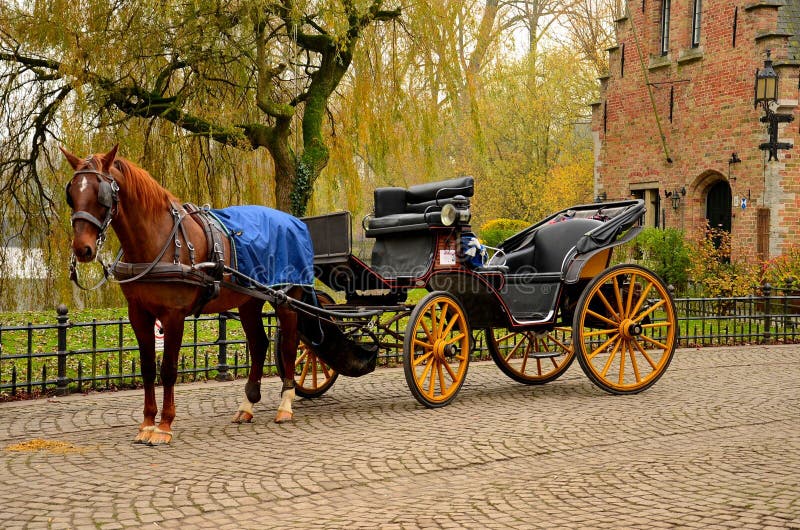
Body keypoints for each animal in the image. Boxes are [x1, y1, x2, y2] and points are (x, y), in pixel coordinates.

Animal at [63, 146, 376, 444]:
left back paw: (285, 404)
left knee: (288, 345)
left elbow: (168, 369)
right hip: (249, 301)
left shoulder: (173, 315)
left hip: (287, 299)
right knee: (260, 345)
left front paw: (164, 427)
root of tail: (294, 222)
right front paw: (147, 424)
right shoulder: (138, 314)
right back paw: (247, 405)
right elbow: (148, 368)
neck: (159, 240)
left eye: (101, 194)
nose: (82, 249)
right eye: (72, 194)